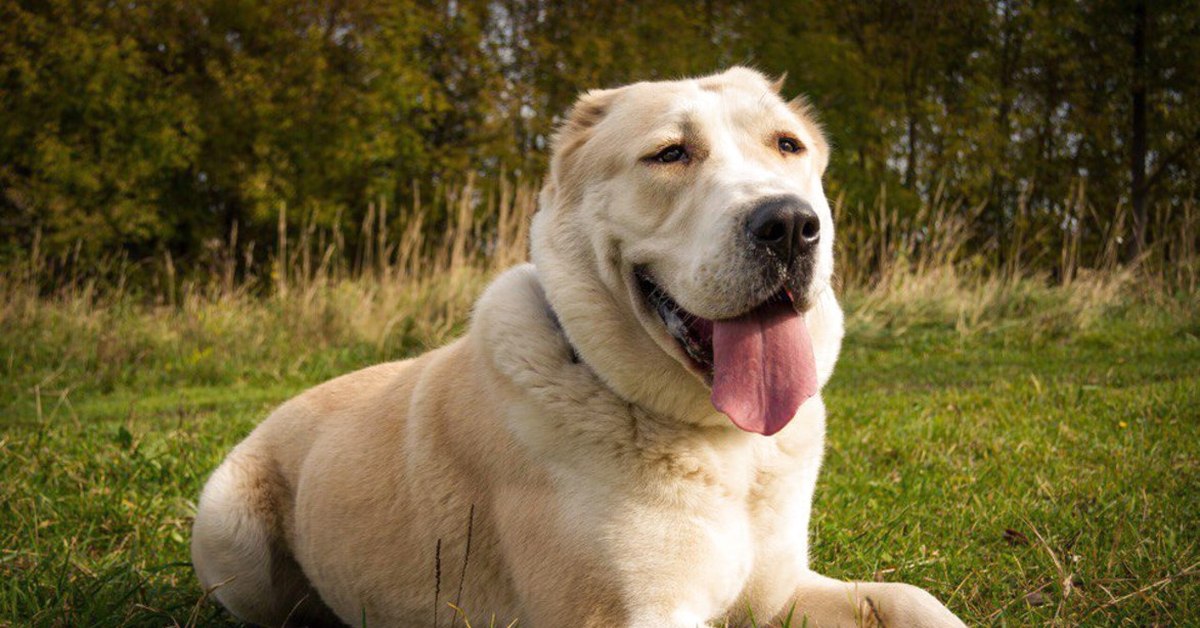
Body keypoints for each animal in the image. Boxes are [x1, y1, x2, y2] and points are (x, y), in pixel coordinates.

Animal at [192, 66, 969, 624]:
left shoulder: (780, 595)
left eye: (787, 146)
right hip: (229, 532)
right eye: (670, 154)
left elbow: (914, 600)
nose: (787, 225)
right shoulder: (624, 616)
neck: (723, 445)